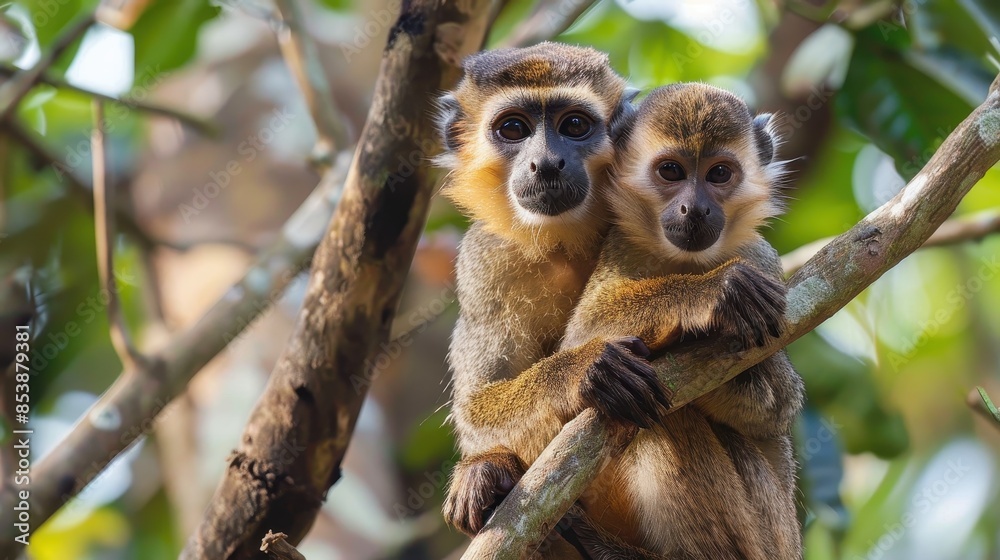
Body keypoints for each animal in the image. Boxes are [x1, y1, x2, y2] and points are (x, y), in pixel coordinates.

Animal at [554, 83, 805, 559]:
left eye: (719, 174)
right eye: (671, 171)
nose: (695, 209)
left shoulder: (762, 259)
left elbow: (778, 405)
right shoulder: (619, 246)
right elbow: (584, 331)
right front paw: (713, 293)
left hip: (767, 539)